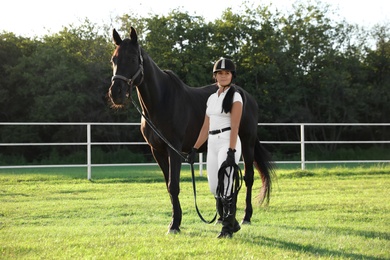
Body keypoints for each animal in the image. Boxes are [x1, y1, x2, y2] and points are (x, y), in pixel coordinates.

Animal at [108, 27, 274, 235]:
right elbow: (168, 185)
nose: (116, 93)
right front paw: (174, 221)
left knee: (248, 177)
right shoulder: (157, 151)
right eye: (113, 59)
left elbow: (174, 185)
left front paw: (175, 225)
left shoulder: (174, 150)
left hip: (247, 143)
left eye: (131, 58)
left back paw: (245, 217)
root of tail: (247, 97)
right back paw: (223, 219)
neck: (162, 102)